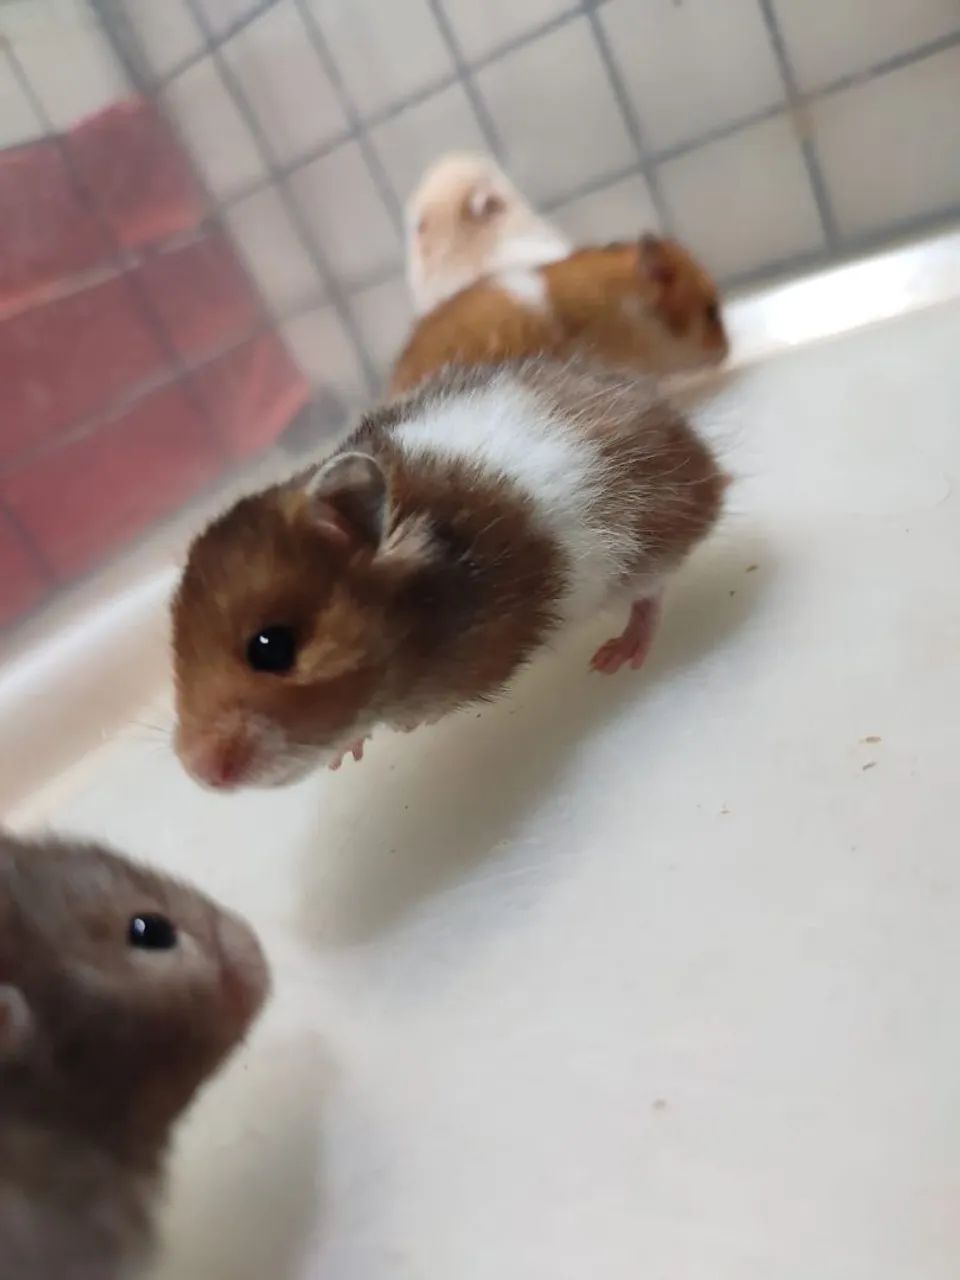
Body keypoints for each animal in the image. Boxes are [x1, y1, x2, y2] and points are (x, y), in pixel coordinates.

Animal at [173, 357, 726, 790]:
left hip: (649, 547)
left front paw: (405, 731)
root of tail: (703, 455)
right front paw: (344, 755)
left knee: (651, 597)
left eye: (273, 648)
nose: (197, 773)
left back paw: (616, 656)